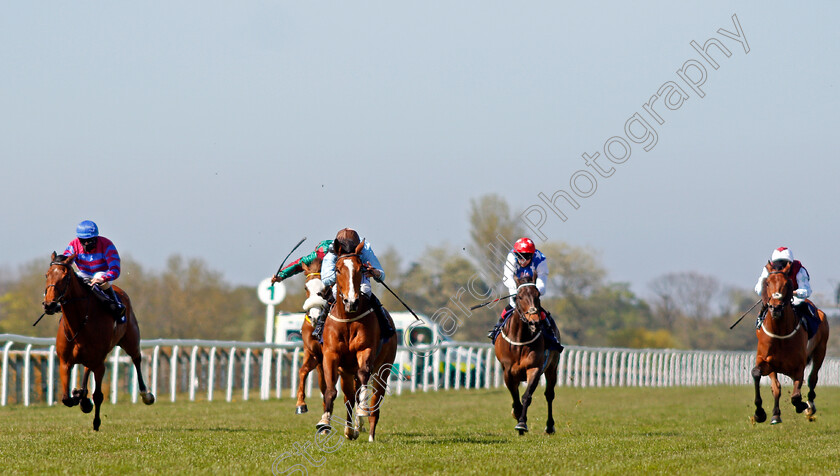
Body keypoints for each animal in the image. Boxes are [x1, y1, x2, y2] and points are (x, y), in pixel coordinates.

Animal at [42, 253, 155, 432]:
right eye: (47, 275)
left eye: (65, 277)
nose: (49, 304)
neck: (78, 324)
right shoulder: (65, 362)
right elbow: (66, 398)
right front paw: (80, 397)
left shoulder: (100, 363)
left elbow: (98, 395)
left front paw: (95, 420)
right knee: (87, 369)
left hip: (131, 339)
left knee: (136, 359)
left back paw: (146, 395)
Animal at [316, 242, 398, 442]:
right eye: (337, 269)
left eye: (361, 269)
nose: (351, 302)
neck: (348, 319)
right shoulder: (331, 355)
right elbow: (331, 391)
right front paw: (325, 422)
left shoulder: (365, 349)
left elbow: (363, 379)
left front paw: (361, 412)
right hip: (345, 372)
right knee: (348, 397)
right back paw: (350, 430)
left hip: (383, 370)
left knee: (374, 400)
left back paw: (369, 433)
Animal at [496, 276, 560, 436]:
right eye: (519, 296)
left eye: (538, 295)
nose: (534, 322)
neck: (520, 340)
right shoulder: (508, 372)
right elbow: (515, 398)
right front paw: (517, 414)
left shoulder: (534, 368)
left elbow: (526, 396)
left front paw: (521, 423)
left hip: (552, 368)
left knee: (549, 395)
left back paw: (549, 426)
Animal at [756, 262, 828, 426]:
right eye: (767, 283)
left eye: (787, 283)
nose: (775, 307)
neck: (780, 333)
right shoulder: (767, 361)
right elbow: (764, 379)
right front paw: (762, 414)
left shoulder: (798, 366)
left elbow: (796, 396)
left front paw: (802, 405)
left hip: (820, 351)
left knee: (813, 379)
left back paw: (810, 407)